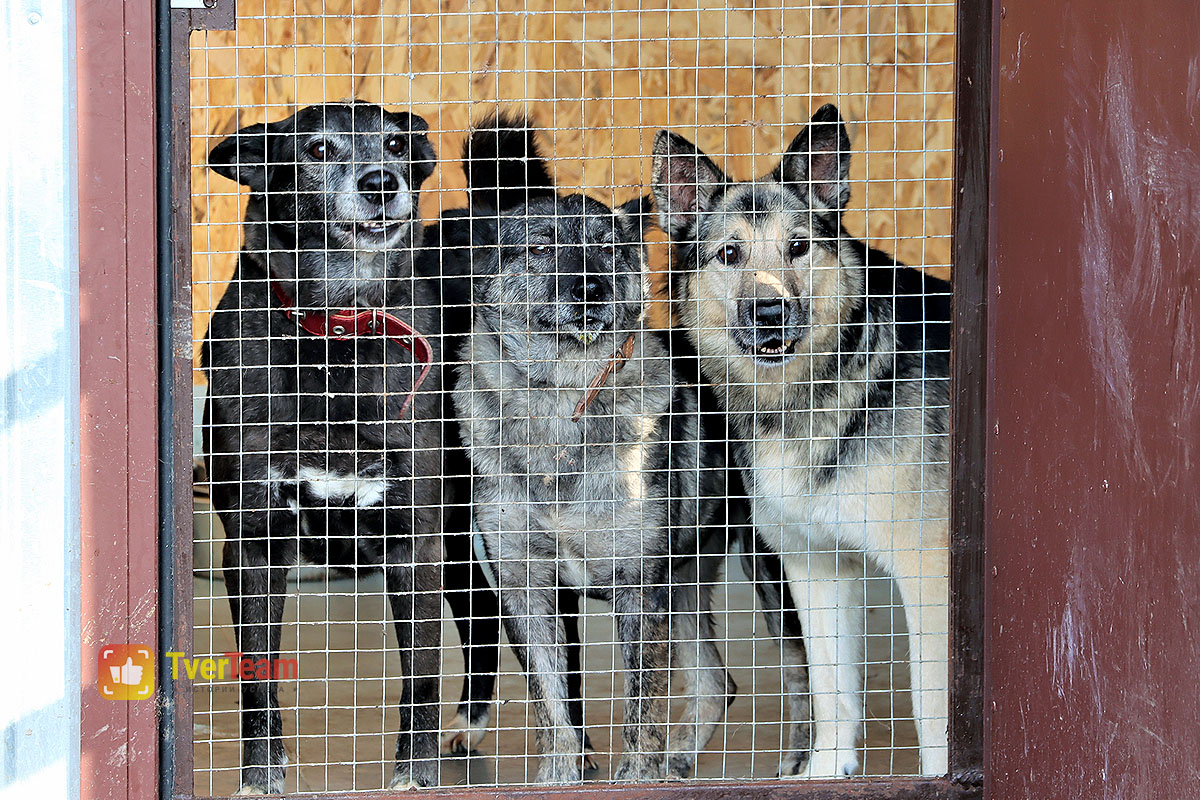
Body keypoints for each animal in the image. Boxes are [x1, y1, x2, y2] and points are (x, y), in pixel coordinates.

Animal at [201, 101, 496, 796]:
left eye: (394, 144)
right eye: (315, 148)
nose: (383, 183)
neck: (337, 331)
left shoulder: (414, 539)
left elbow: (420, 677)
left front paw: (415, 775)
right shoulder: (253, 540)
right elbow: (258, 676)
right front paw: (261, 776)